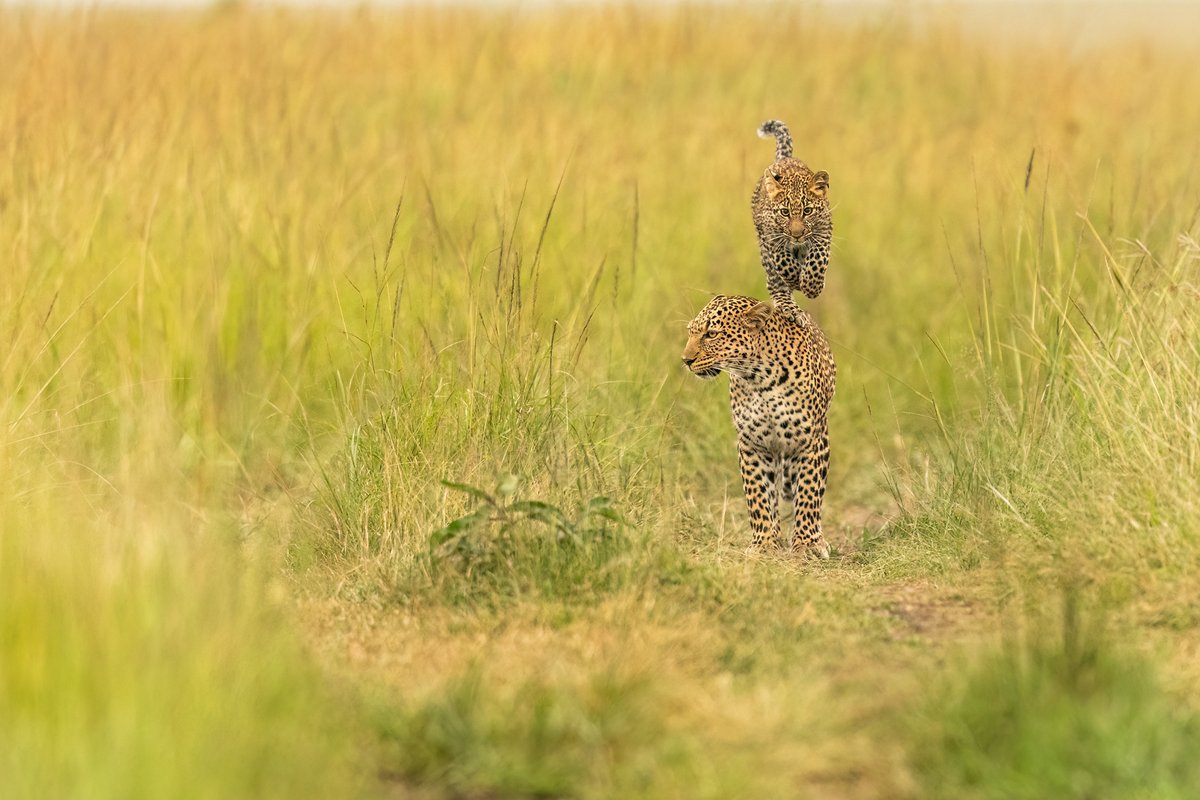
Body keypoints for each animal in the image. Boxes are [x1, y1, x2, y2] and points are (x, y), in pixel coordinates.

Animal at [681, 294, 836, 558]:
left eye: (711, 334)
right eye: (691, 332)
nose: (686, 360)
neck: (760, 379)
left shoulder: (811, 440)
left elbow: (809, 492)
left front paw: (808, 544)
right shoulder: (753, 444)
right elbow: (759, 496)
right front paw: (764, 543)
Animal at [751, 119, 833, 320]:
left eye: (808, 211)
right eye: (784, 212)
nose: (797, 235)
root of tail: (784, 158)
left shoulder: (824, 231)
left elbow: (818, 259)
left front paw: (812, 286)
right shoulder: (771, 239)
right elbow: (784, 262)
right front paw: (796, 280)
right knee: (775, 282)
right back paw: (790, 308)